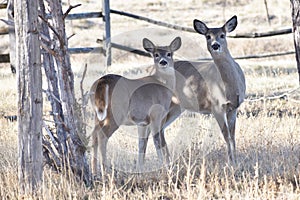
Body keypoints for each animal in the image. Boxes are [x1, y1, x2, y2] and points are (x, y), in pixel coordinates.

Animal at [89, 36, 182, 175]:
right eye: (156, 54)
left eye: (169, 53)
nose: (163, 62)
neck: (162, 84)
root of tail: (102, 82)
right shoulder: (156, 115)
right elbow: (157, 141)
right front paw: (164, 167)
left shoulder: (142, 122)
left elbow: (142, 144)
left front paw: (140, 169)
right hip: (116, 112)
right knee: (102, 135)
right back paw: (105, 171)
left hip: (97, 113)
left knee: (94, 134)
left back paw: (94, 171)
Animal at [145, 15, 246, 166]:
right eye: (208, 36)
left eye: (222, 35)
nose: (215, 45)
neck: (230, 88)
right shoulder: (216, 107)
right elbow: (226, 136)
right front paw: (230, 163)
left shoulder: (234, 108)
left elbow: (233, 136)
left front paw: (236, 161)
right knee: (153, 130)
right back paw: (162, 163)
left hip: (176, 107)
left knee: (159, 130)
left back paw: (168, 162)